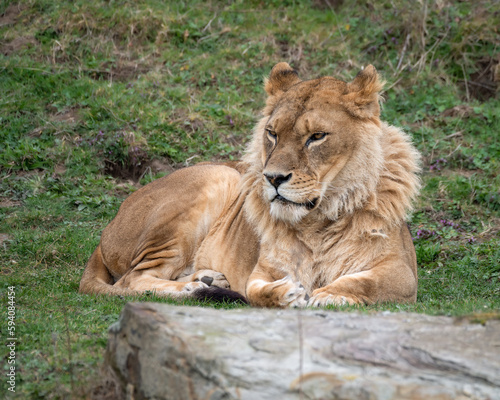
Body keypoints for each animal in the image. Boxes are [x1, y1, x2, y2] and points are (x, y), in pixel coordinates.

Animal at [80, 61, 420, 310]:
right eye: (272, 133)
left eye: (317, 137)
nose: (273, 178)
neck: (318, 221)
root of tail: (111, 223)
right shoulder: (262, 269)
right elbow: (257, 291)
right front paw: (287, 294)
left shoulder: (402, 272)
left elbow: (363, 281)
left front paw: (329, 294)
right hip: (220, 177)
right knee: (132, 280)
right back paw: (193, 287)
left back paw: (209, 278)